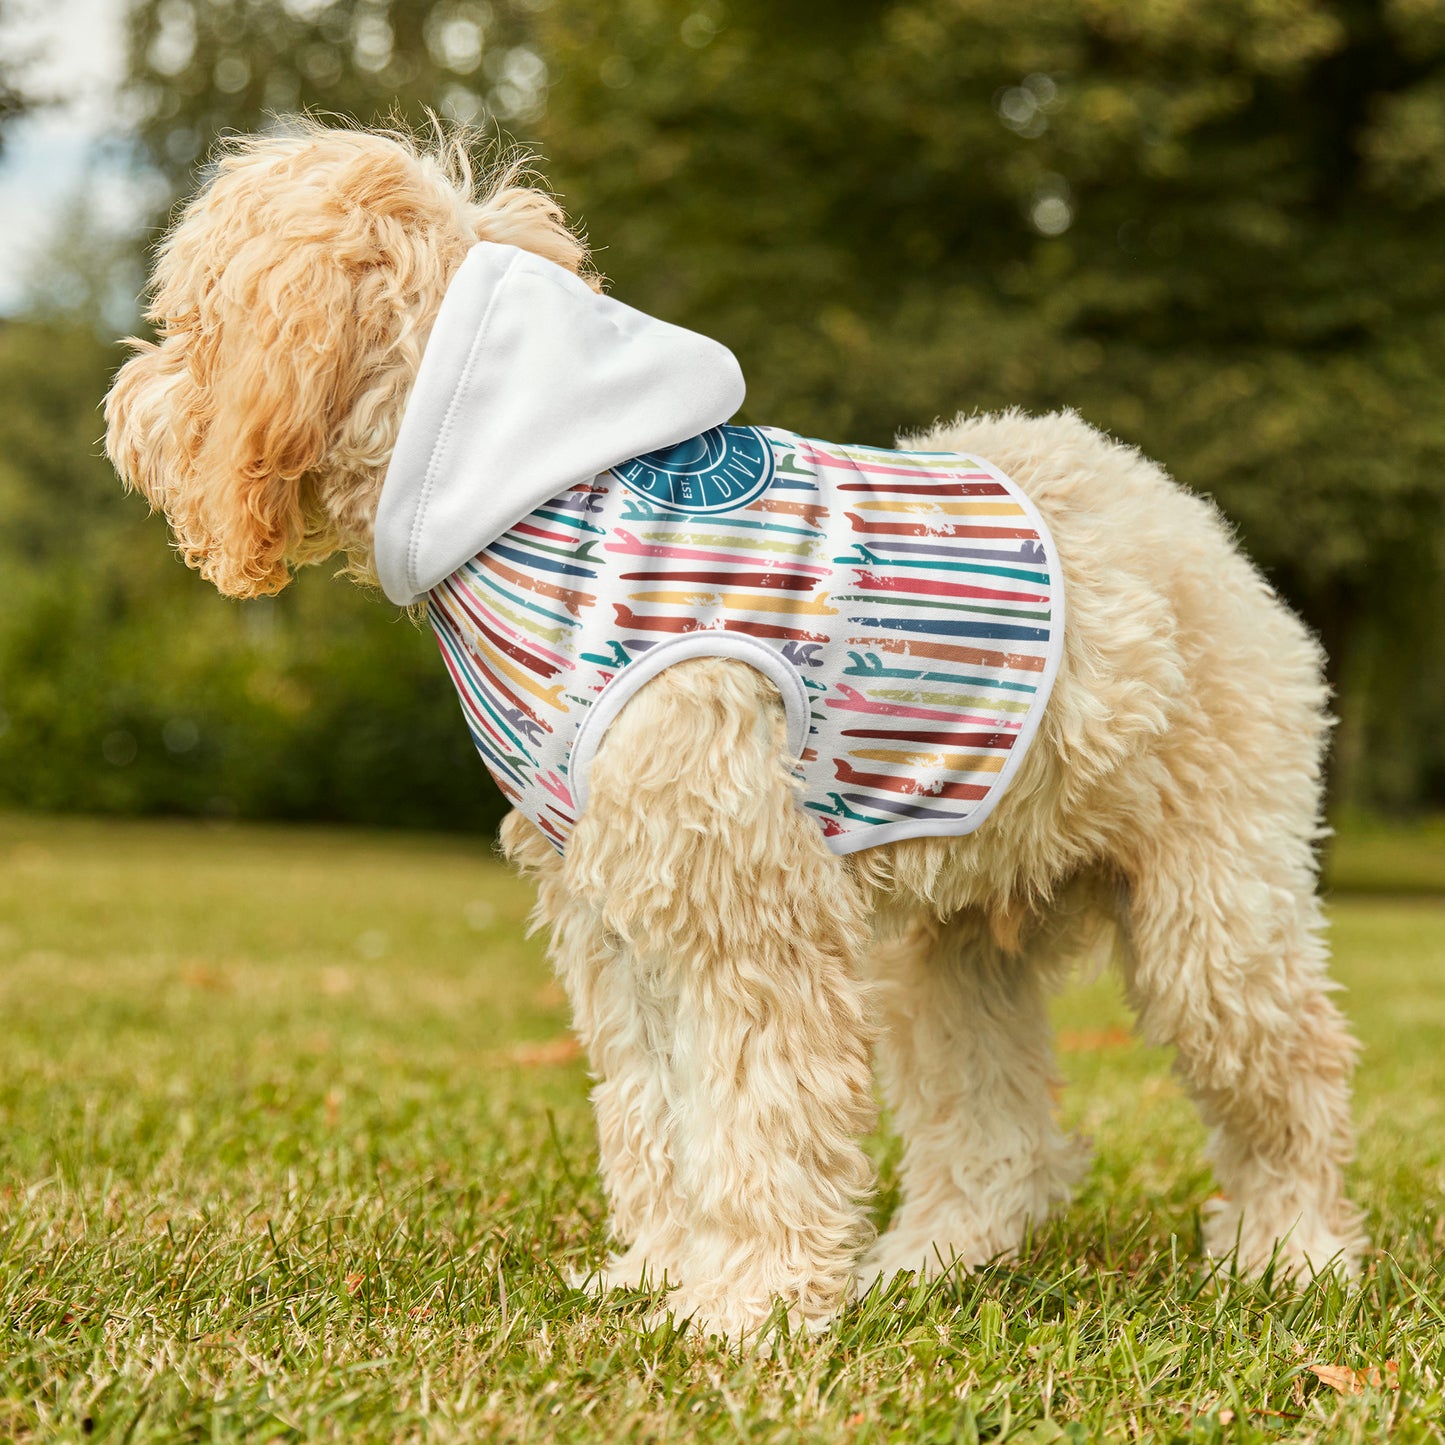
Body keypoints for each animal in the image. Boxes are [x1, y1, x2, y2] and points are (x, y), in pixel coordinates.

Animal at [104, 124, 1364, 1340]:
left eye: (190, 320)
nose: (124, 405)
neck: (537, 503)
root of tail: (1186, 518)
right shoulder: (617, 916)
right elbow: (655, 1112)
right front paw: (661, 1273)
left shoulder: (743, 907)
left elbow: (759, 1111)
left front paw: (747, 1305)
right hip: (949, 947)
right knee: (995, 1132)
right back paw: (929, 1260)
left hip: (1211, 911)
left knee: (1292, 1073)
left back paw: (1290, 1252)